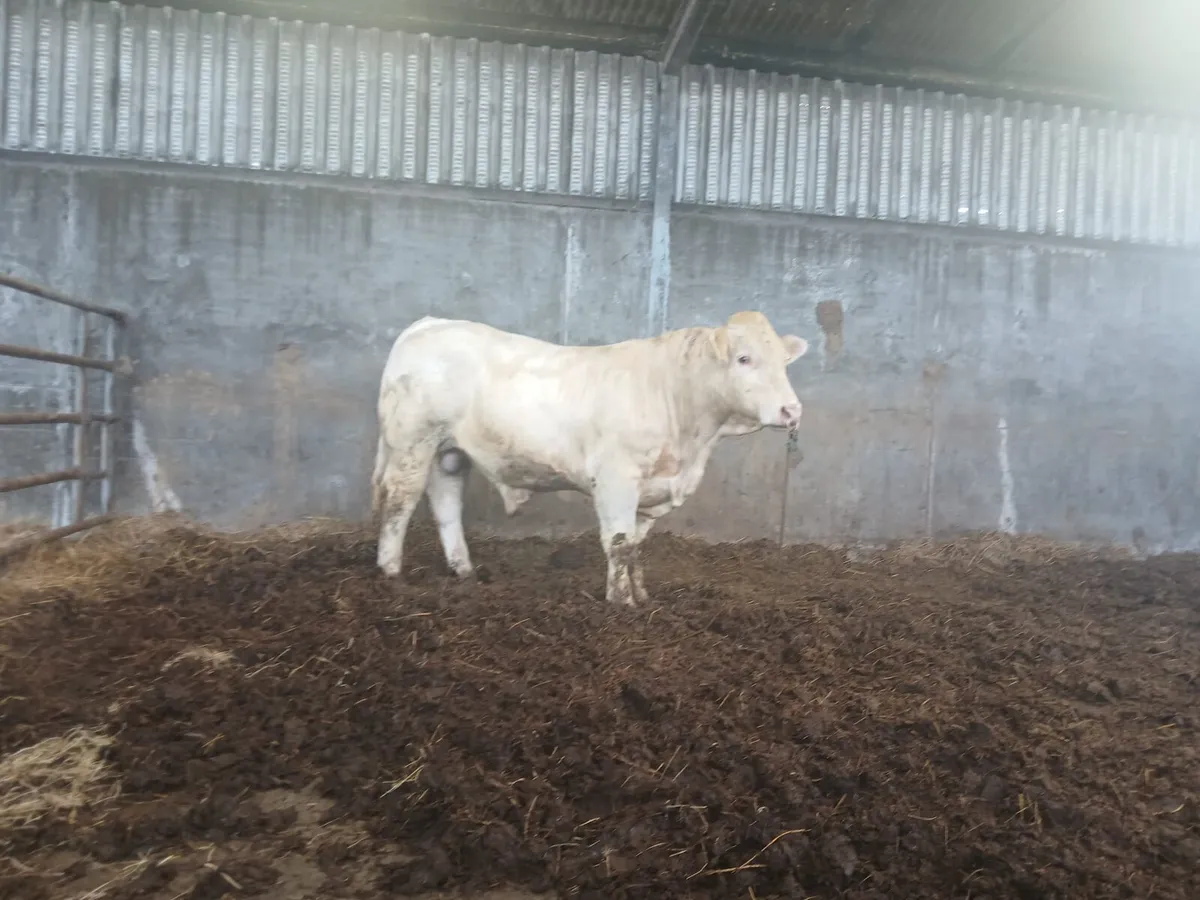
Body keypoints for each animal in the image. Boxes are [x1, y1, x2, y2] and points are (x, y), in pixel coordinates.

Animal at [370, 311, 808, 607]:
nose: (792, 410)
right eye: (744, 359)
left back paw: (463, 569)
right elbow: (617, 541)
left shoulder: (652, 489)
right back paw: (390, 571)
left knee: (445, 500)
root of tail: (429, 324)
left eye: (784, 362)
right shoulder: (617, 477)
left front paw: (641, 595)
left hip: (449, 449)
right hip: (413, 440)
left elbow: (634, 546)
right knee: (400, 500)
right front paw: (621, 603)